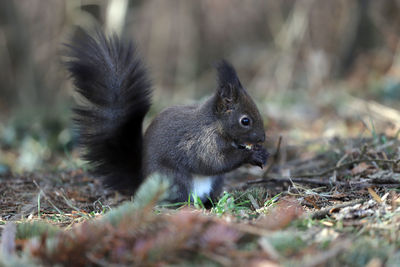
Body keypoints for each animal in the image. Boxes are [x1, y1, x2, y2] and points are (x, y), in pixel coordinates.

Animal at [65, 30, 268, 204]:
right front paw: (251, 155)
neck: (214, 124)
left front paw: (261, 152)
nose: (262, 138)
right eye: (245, 121)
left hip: (215, 182)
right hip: (174, 180)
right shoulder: (201, 143)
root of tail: (143, 183)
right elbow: (214, 162)